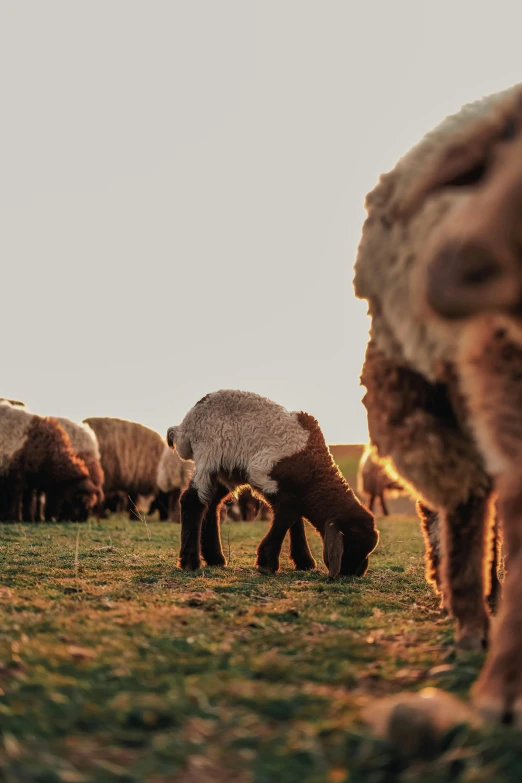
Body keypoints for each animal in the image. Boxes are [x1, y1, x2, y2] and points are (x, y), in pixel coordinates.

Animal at [168, 390, 378, 580]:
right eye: (352, 542)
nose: (355, 573)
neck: (314, 472)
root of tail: (184, 427)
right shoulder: (263, 474)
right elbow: (289, 512)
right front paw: (267, 563)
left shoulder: (292, 489)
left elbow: (294, 516)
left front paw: (304, 561)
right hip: (209, 455)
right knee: (192, 501)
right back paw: (190, 562)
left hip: (224, 470)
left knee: (211, 505)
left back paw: (215, 559)